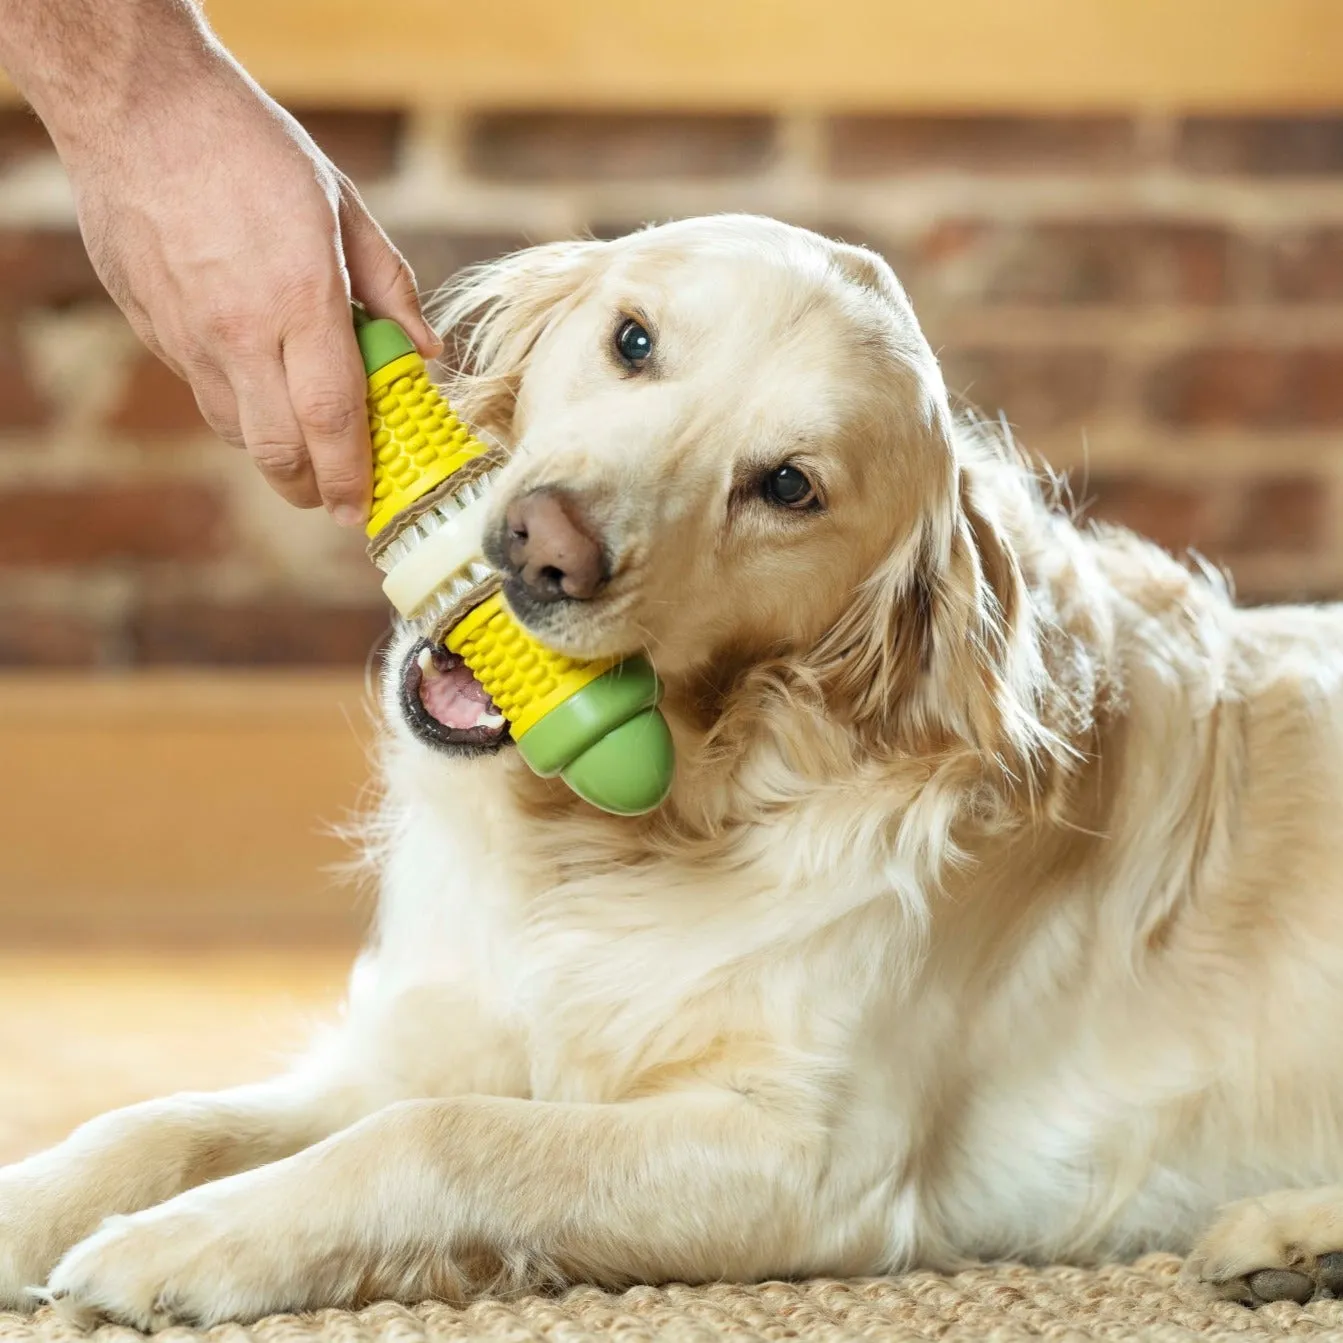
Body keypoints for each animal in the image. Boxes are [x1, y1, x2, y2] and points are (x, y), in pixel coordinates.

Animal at [2, 214, 1343, 1326]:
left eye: (786, 484)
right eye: (631, 339)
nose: (543, 546)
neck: (619, 836)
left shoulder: (808, 1155)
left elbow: (439, 1136)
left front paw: (179, 1244)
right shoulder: (427, 1034)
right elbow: (162, 1121)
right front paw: (43, 1203)